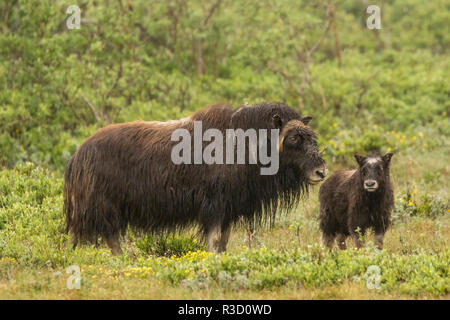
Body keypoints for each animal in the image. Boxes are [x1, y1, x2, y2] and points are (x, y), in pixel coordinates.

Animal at [64, 102, 326, 255]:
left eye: (311, 136)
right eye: (294, 138)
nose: (321, 172)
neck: (246, 144)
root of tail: (78, 153)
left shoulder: (229, 207)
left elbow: (223, 241)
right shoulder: (214, 205)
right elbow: (213, 238)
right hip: (101, 206)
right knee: (101, 235)